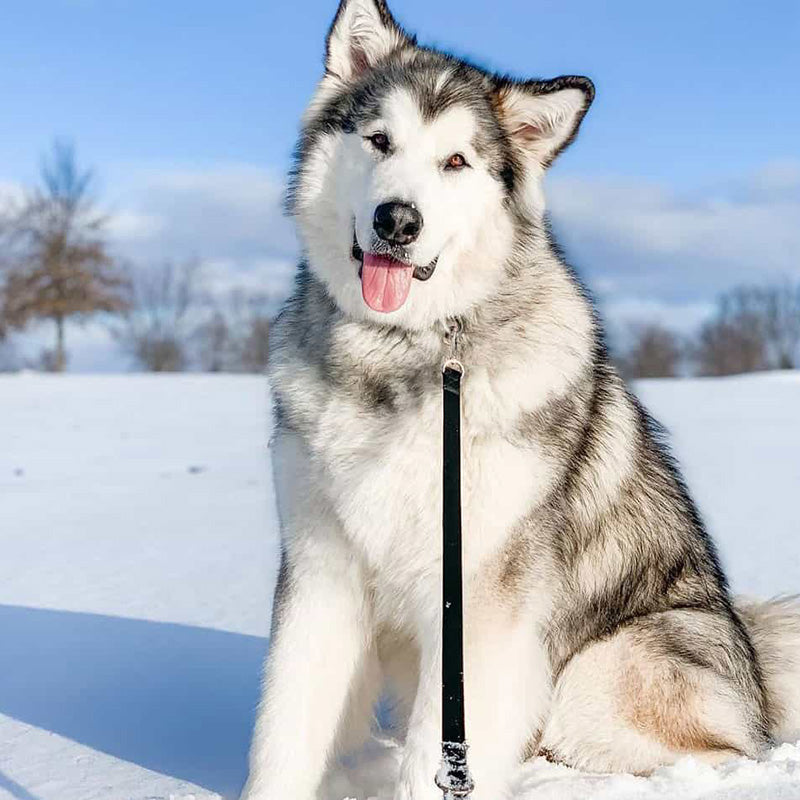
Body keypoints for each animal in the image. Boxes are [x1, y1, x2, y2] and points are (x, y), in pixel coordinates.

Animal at [239, 3, 800, 796]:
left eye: (456, 162)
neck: (405, 351)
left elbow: (432, 757)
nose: (396, 221)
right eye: (379, 141)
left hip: (602, 673)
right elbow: (284, 735)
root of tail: (756, 674)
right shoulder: (321, 570)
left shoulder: (480, 599)